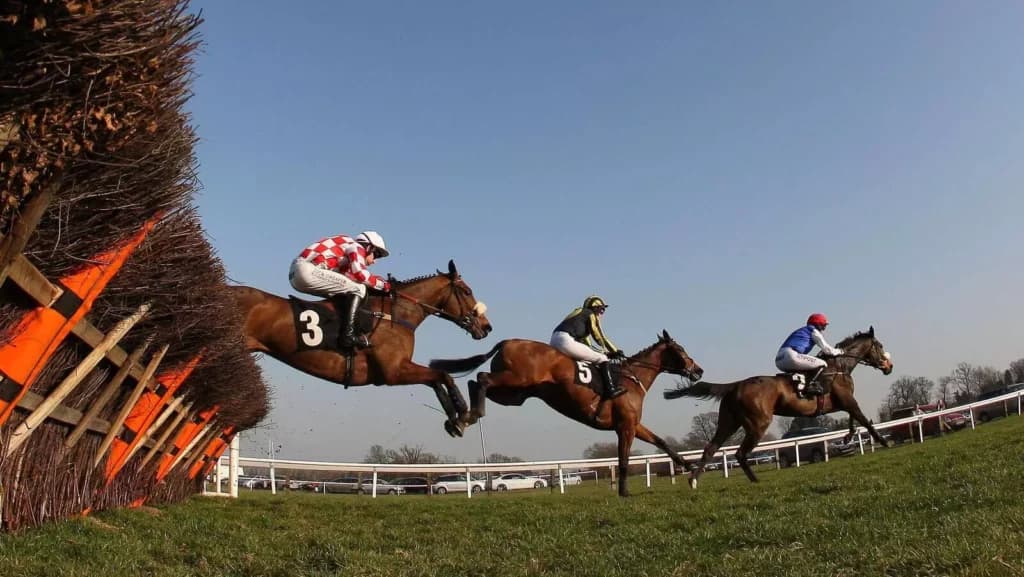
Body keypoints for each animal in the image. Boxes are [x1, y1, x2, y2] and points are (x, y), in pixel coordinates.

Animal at [230, 260, 492, 437]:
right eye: (467, 291)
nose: (486, 327)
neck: (396, 315)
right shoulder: (393, 372)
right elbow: (443, 375)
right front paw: (465, 414)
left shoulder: (399, 369)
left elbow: (436, 380)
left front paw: (454, 420)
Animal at [429, 330, 704, 496]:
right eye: (681, 349)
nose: (698, 370)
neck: (631, 378)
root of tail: (508, 342)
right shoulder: (625, 426)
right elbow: (623, 458)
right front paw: (624, 491)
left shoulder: (634, 425)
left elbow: (661, 442)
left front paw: (689, 467)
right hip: (515, 380)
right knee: (481, 378)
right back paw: (465, 416)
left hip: (515, 394)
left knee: (476, 382)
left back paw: (462, 418)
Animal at [664, 326, 893, 488]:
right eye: (880, 345)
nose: (889, 366)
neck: (839, 367)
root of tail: (735, 385)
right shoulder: (848, 401)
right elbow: (864, 421)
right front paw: (884, 442)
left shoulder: (844, 404)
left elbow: (855, 420)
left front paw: (847, 437)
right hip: (758, 424)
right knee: (740, 454)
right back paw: (754, 480)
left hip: (727, 423)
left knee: (711, 448)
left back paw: (694, 480)